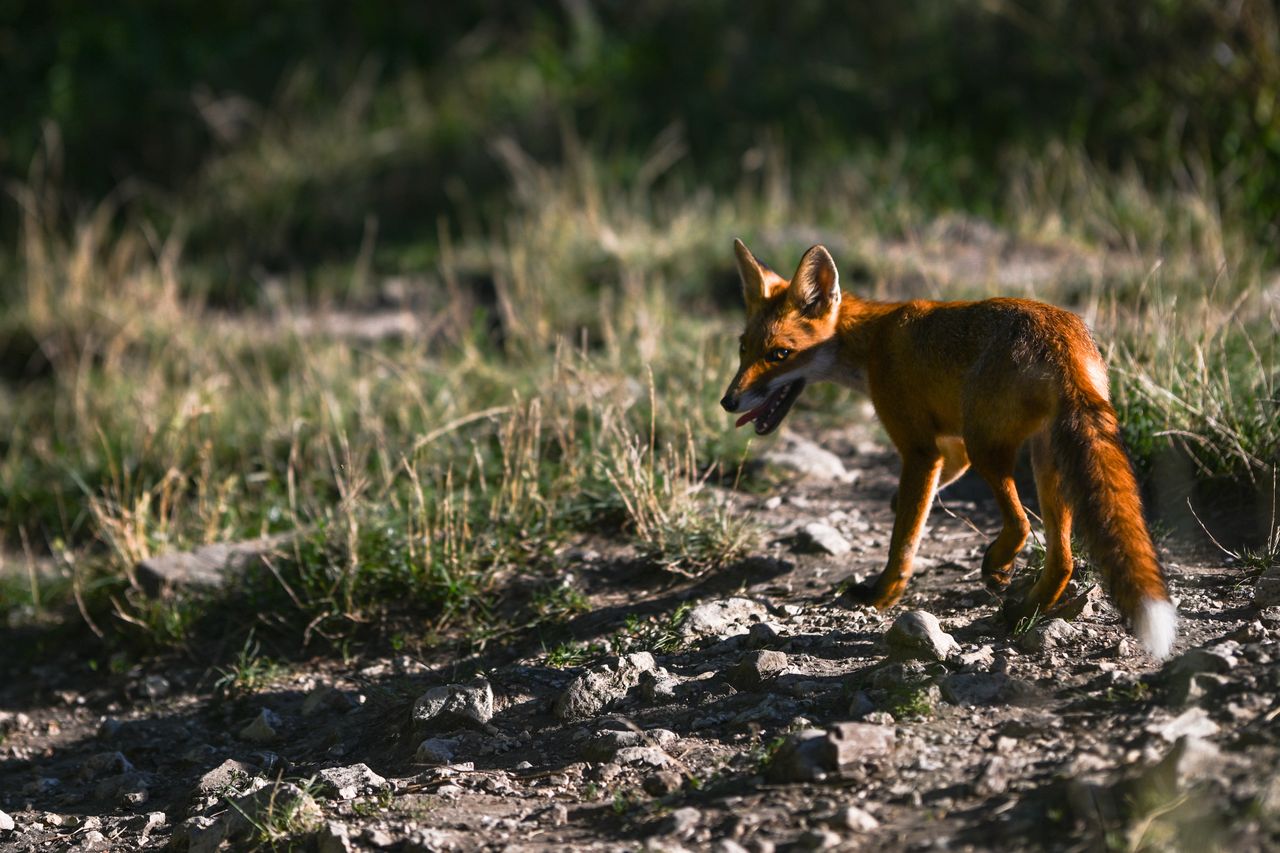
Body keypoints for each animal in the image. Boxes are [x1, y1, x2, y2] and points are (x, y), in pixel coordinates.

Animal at [716, 239, 1172, 655]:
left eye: (780, 354)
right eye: (743, 348)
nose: (729, 402)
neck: (871, 342)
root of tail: (1062, 341)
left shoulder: (920, 449)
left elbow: (904, 541)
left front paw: (882, 594)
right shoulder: (950, 448)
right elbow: (916, 501)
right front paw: (897, 506)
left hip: (988, 445)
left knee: (1022, 524)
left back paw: (999, 567)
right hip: (1044, 460)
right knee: (1062, 559)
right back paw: (1023, 611)